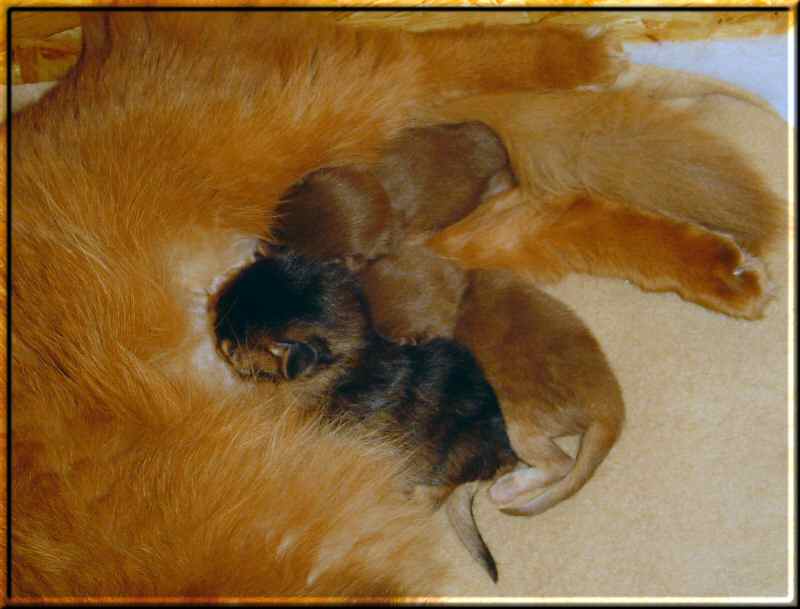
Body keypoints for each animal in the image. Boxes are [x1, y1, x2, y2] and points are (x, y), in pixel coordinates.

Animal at [211, 247, 520, 580]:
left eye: (231, 350)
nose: (215, 333)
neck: (344, 367)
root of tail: (503, 456)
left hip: (452, 455)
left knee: (440, 490)